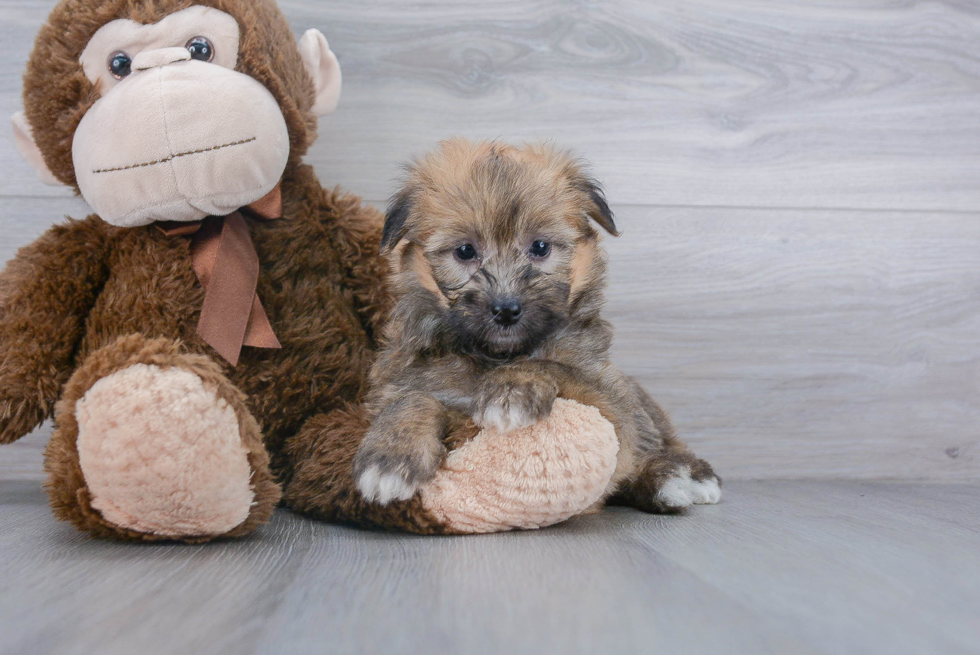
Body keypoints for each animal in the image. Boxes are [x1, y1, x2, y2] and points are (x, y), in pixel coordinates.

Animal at [352, 141, 720, 516]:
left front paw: (512, 390)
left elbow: (552, 366)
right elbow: (413, 398)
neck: (494, 356)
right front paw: (390, 457)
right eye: (465, 250)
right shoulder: (396, 384)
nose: (506, 309)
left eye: (540, 247)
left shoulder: (611, 412)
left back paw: (678, 475)